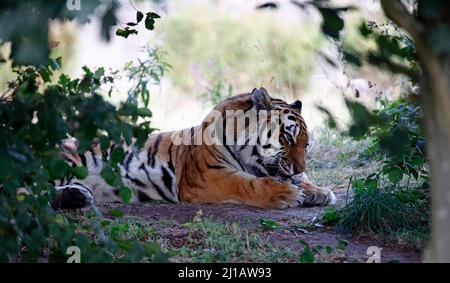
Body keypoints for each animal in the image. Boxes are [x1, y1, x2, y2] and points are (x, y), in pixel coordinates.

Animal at [51, 88, 334, 211]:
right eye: (287, 137)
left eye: (306, 144)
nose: (300, 166)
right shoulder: (209, 176)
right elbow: (248, 184)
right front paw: (288, 194)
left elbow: (298, 180)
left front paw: (319, 191)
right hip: (69, 159)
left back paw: (76, 197)